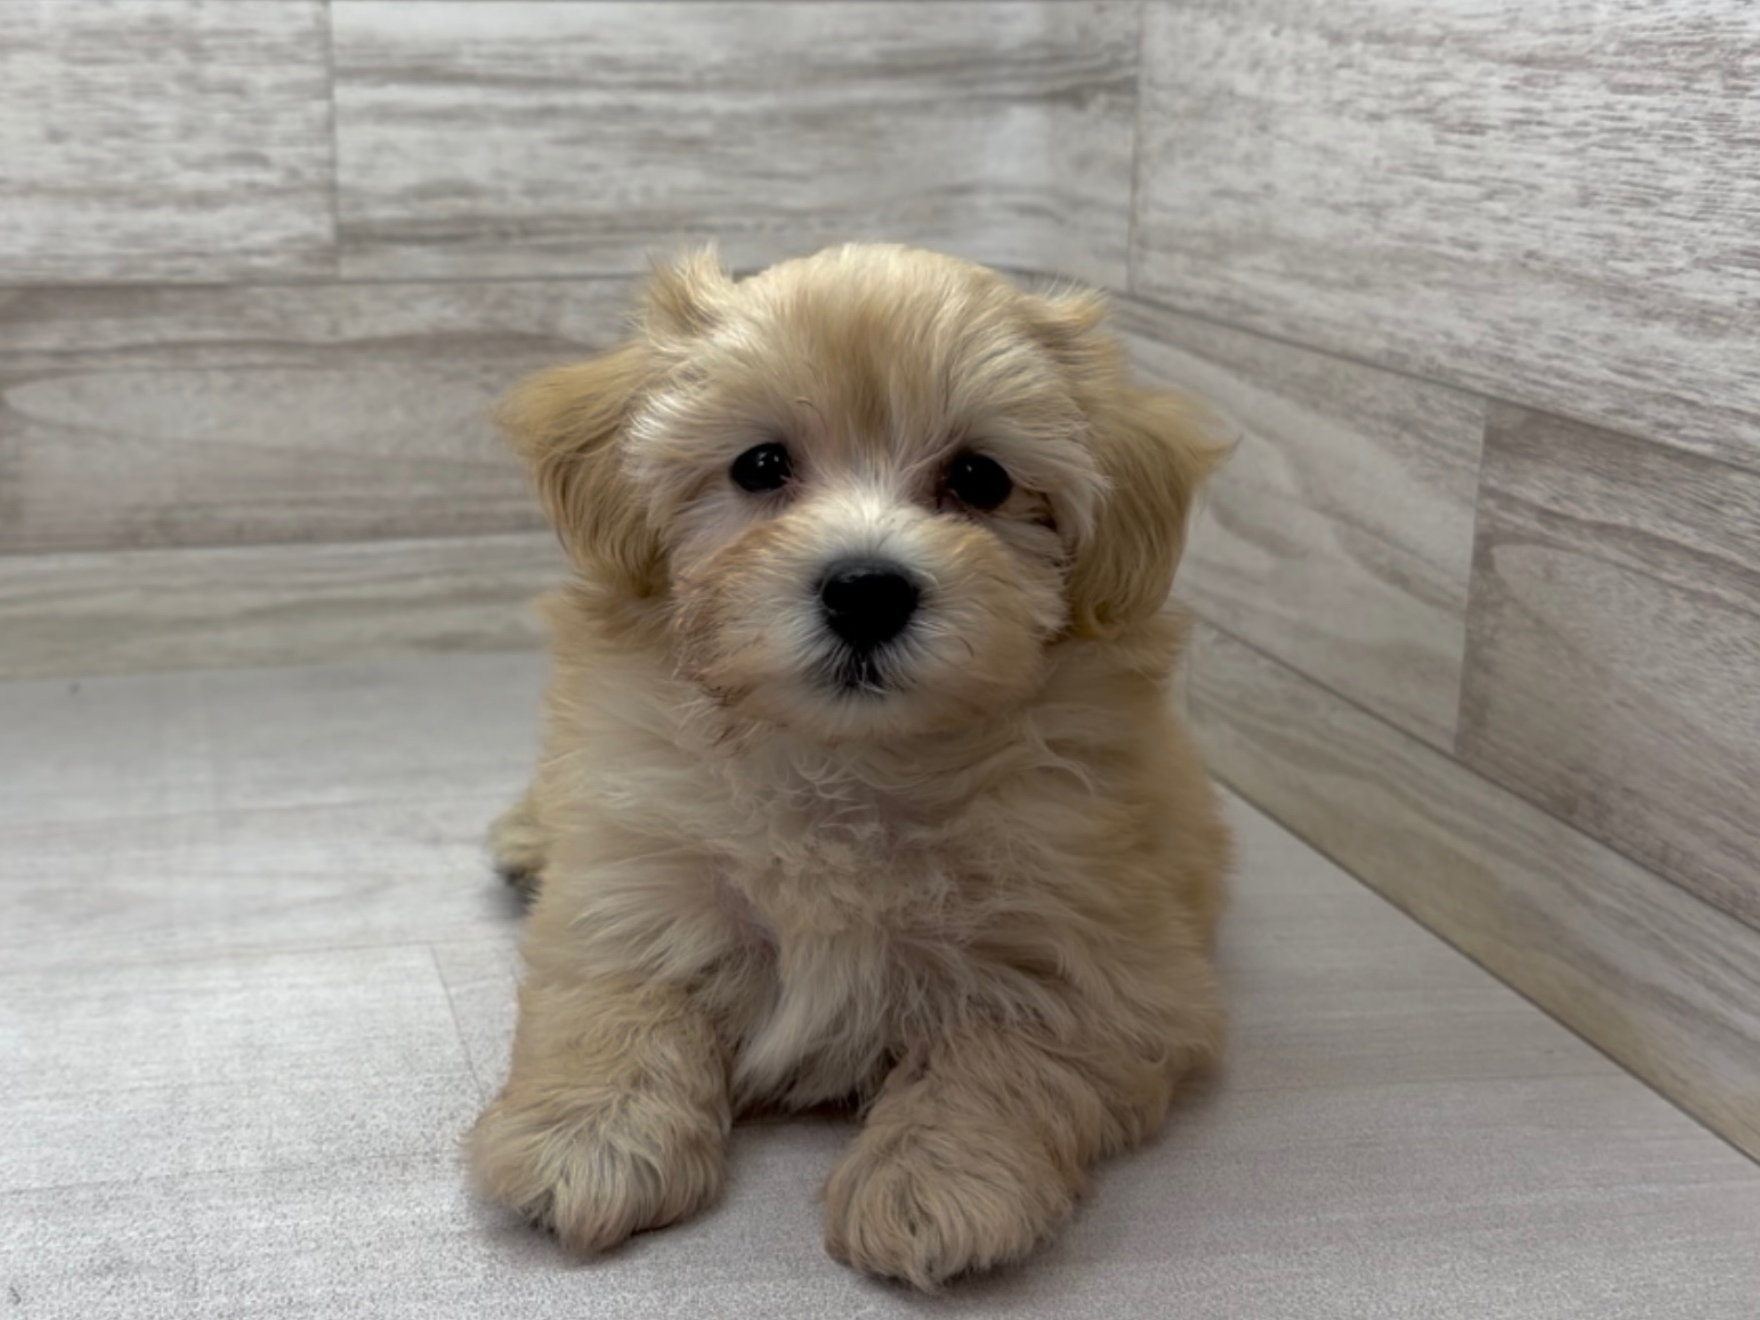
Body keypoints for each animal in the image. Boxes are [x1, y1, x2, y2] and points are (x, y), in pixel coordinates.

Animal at [467, 243, 1231, 1289]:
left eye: (981, 478)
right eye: (760, 465)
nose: (867, 589)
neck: (843, 762)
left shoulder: (1110, 956)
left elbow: (1010, 1046)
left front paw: (937, 1181)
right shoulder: (638, 865)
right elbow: (621, 989)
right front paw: (589, 1135)